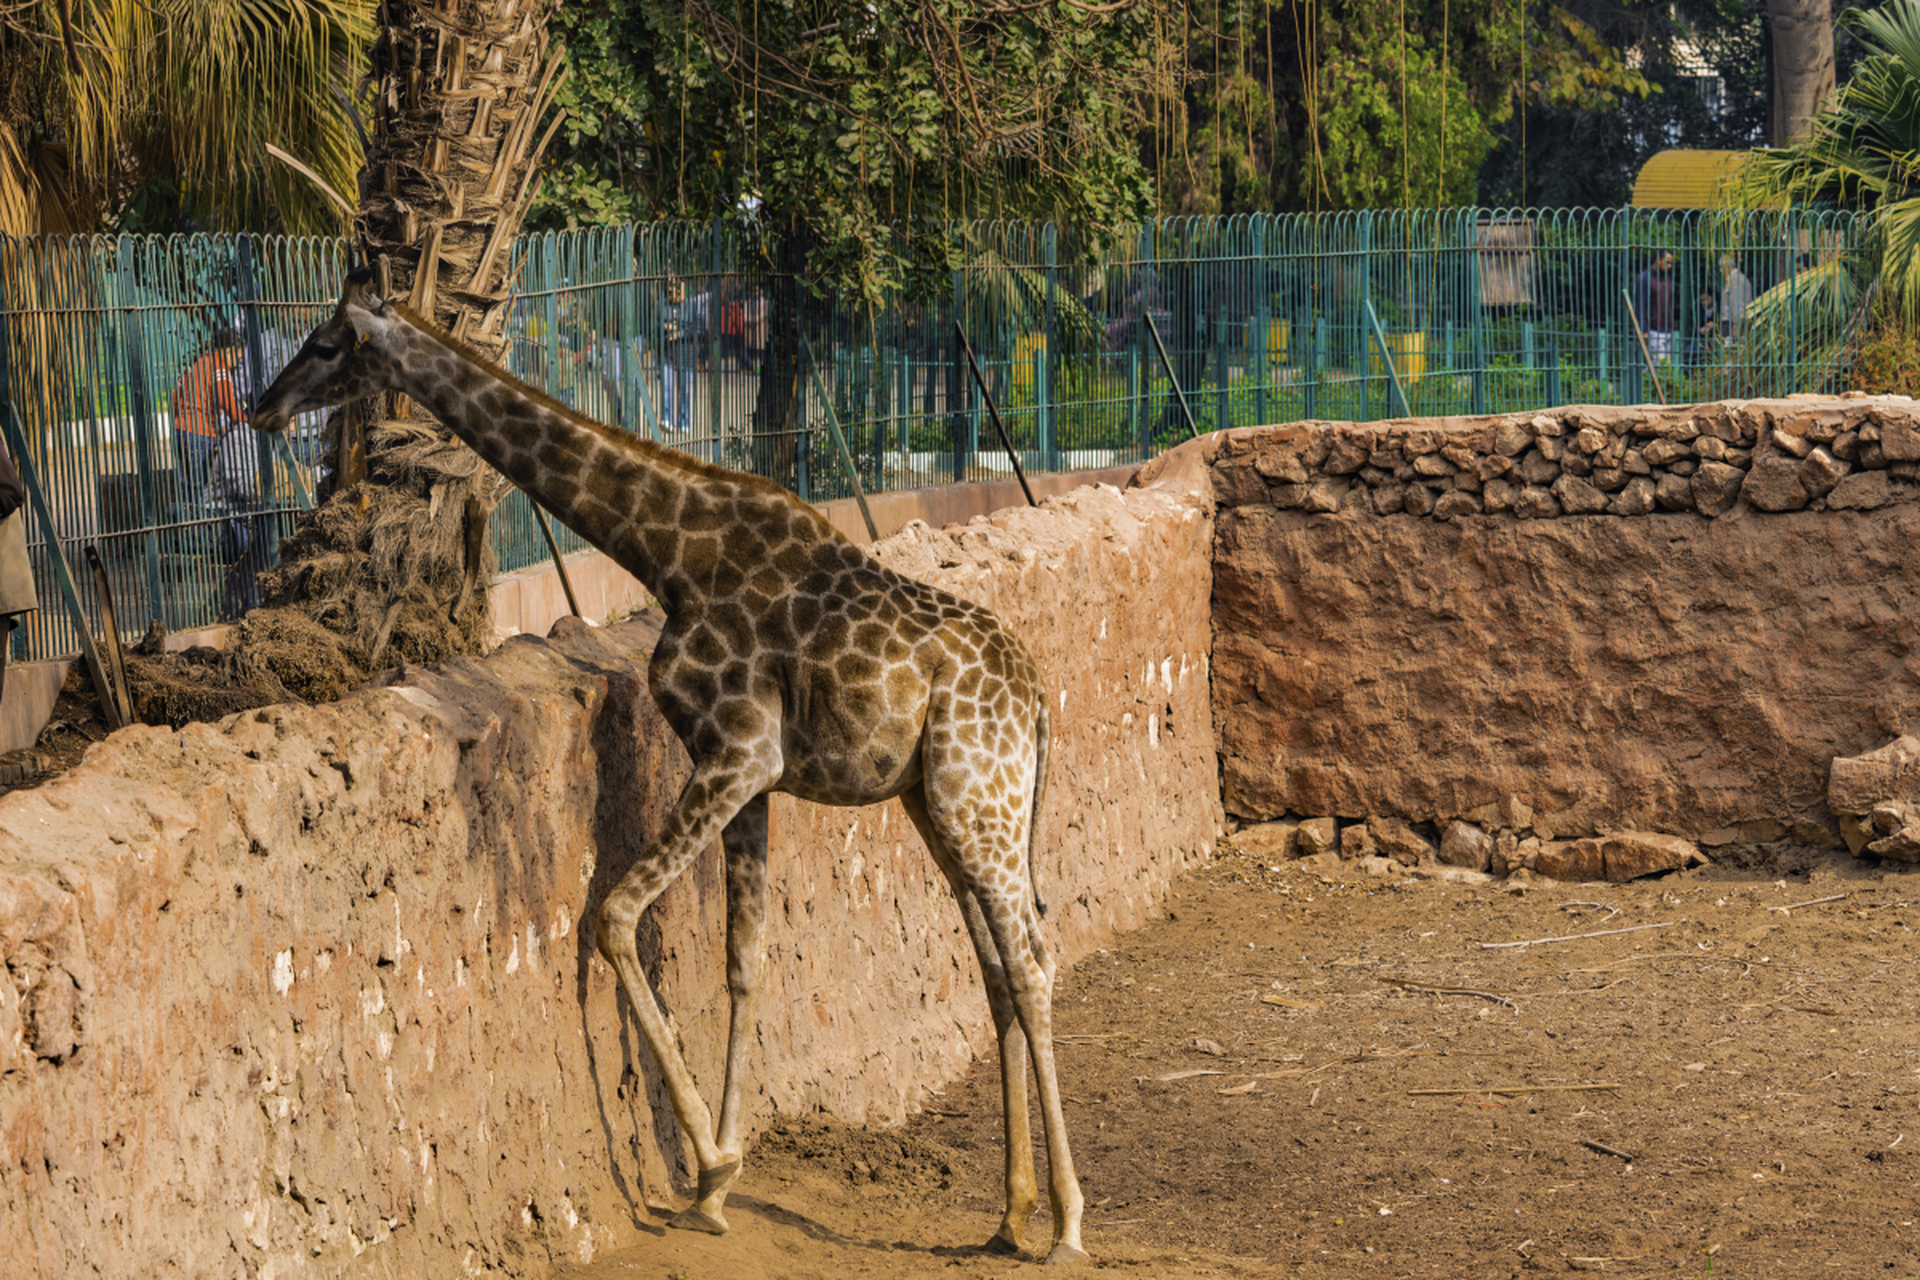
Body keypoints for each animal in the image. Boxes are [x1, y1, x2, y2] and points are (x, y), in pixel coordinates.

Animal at [253, 270, 1090, 1258]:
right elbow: (743, 961)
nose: (263, 407)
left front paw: (714, 1165)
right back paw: (1010, 1211)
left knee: (1033, 958)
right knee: (998, 966)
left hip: (977, 798)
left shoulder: (737, 752)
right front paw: (715, 1188)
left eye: (327, 342)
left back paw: (1068, 1222)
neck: (670, 551)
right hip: (941, 802)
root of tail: (1039, 700)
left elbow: (614, 916)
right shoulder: (751, 776)